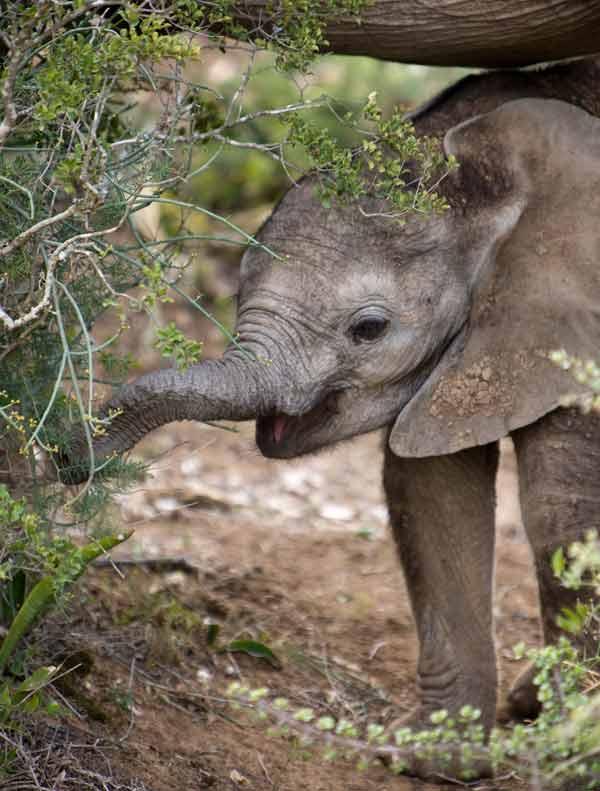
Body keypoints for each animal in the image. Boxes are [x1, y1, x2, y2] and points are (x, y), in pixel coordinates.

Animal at [62, 61, 600, 778]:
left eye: (368, 329)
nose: (66, 457)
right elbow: (430, 489)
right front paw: (431, 758)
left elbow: (561, 513)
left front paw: (572, 754)